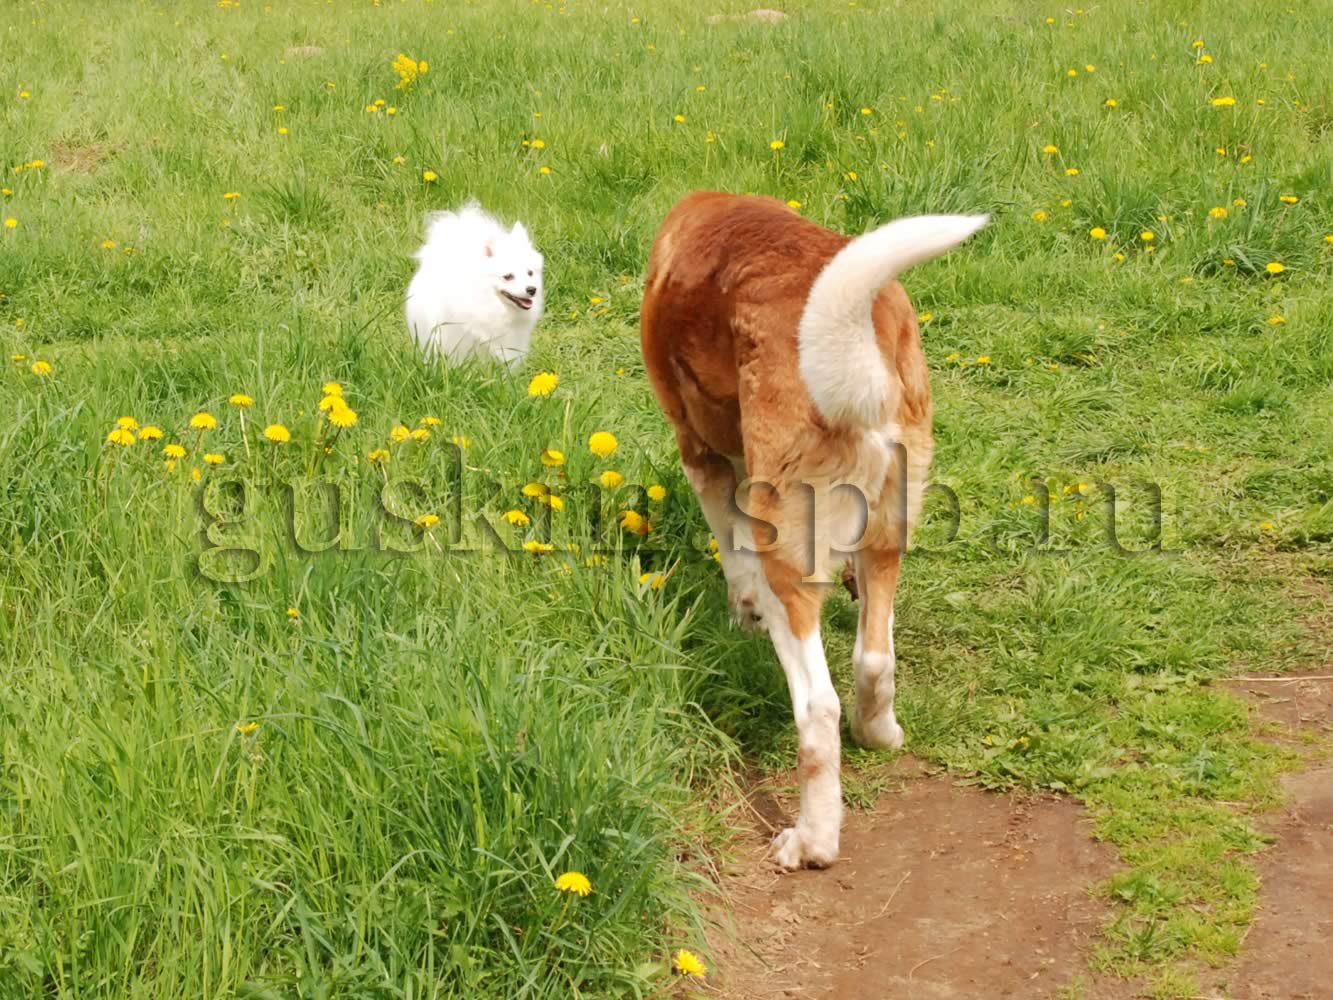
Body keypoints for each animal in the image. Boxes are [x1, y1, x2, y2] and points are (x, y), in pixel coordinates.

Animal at [640, 193, 987, 869]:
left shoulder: (700, 456)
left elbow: (734, 554)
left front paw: (740, 612)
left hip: (789, 562)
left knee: (817, 710)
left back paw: (812, 841)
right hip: (893, 523)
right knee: (874, 659)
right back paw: (879, 732)